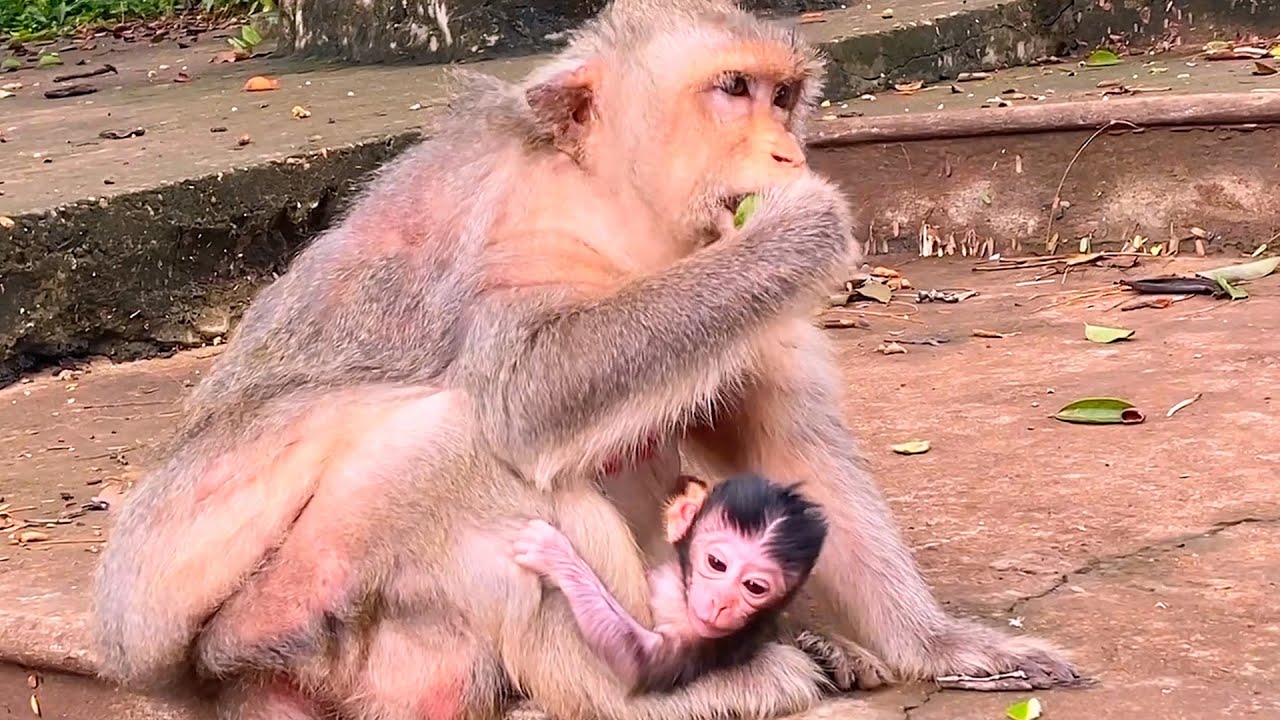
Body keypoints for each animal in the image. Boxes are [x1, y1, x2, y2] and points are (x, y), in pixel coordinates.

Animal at [512, 474, 828, 695]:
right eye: (717, 563)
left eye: (754, 587)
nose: (721, 602)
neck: (680, 593)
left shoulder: (717, 641)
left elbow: (638, 658)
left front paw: (556, 554)